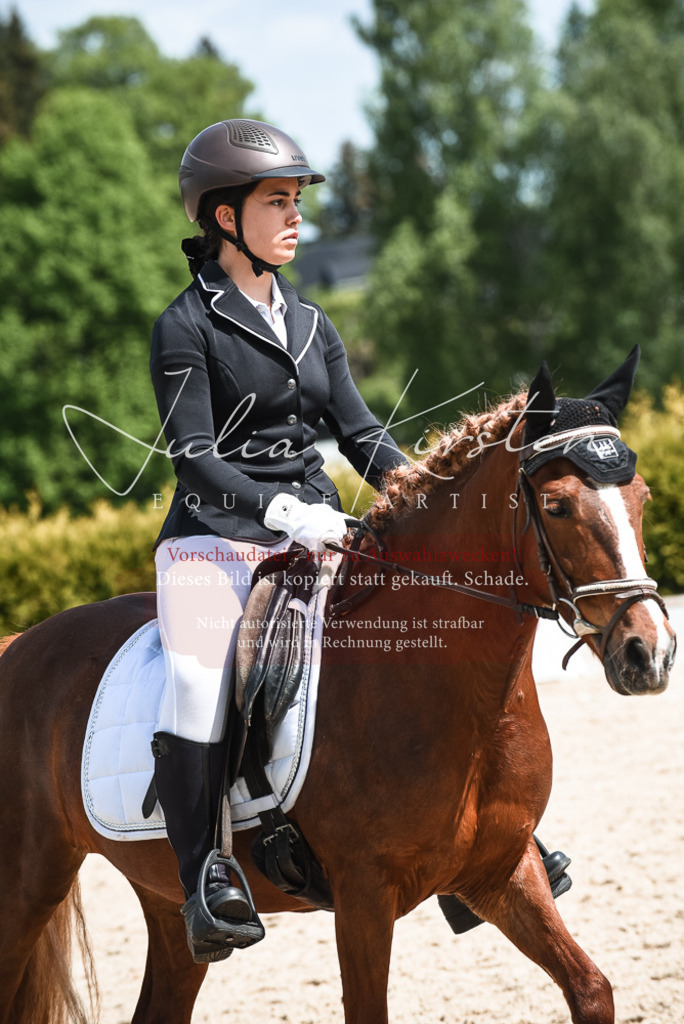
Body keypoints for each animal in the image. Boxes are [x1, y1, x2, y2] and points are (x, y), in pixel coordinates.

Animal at [0, 349, 676, 1024]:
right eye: (557, 506)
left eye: (641, 496)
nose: (651, 652)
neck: (458, 698)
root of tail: (18, 643)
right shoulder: (363, 895)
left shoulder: (502, 871)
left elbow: (591, 989)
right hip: (26, 887)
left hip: (167, 901)